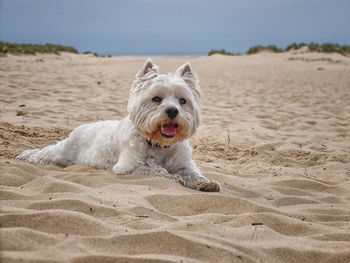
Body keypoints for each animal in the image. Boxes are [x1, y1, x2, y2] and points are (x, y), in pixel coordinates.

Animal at [16, 59, 220, 192]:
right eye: (156, 99)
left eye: (182, 101)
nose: (172, 111)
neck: (159, 145)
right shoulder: (128, 166)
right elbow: (155, 170)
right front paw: (173, 178)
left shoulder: (185, 164)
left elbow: (193, 174)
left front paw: (206, 182)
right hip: (62, 151)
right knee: (44, 153)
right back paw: (24, 155)